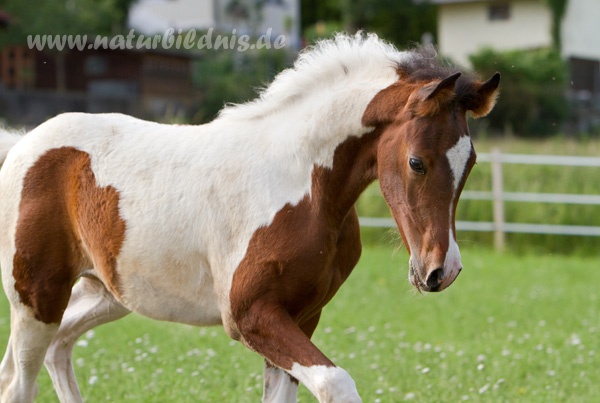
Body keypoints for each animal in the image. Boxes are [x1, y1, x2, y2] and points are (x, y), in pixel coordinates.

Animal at [0, 33, 500, 402]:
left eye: (471, 162)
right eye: (417, 162)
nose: (440, 271)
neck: (302, 183)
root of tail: (22, 143)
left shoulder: (301, 316)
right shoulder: (251, 315)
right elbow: (337, 384)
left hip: (104, 292)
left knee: (58, 348)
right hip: (37, 296)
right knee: (21, 381)